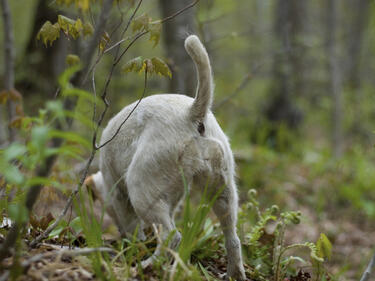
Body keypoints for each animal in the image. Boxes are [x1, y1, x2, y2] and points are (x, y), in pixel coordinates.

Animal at [86, 35, 248, 280]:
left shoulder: (120, 196)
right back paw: (234, 273)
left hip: (141, 189)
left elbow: (134, 228)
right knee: (232, 238)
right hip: (223, 191)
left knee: (173, 237)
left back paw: (147, 266)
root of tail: (192, 114)